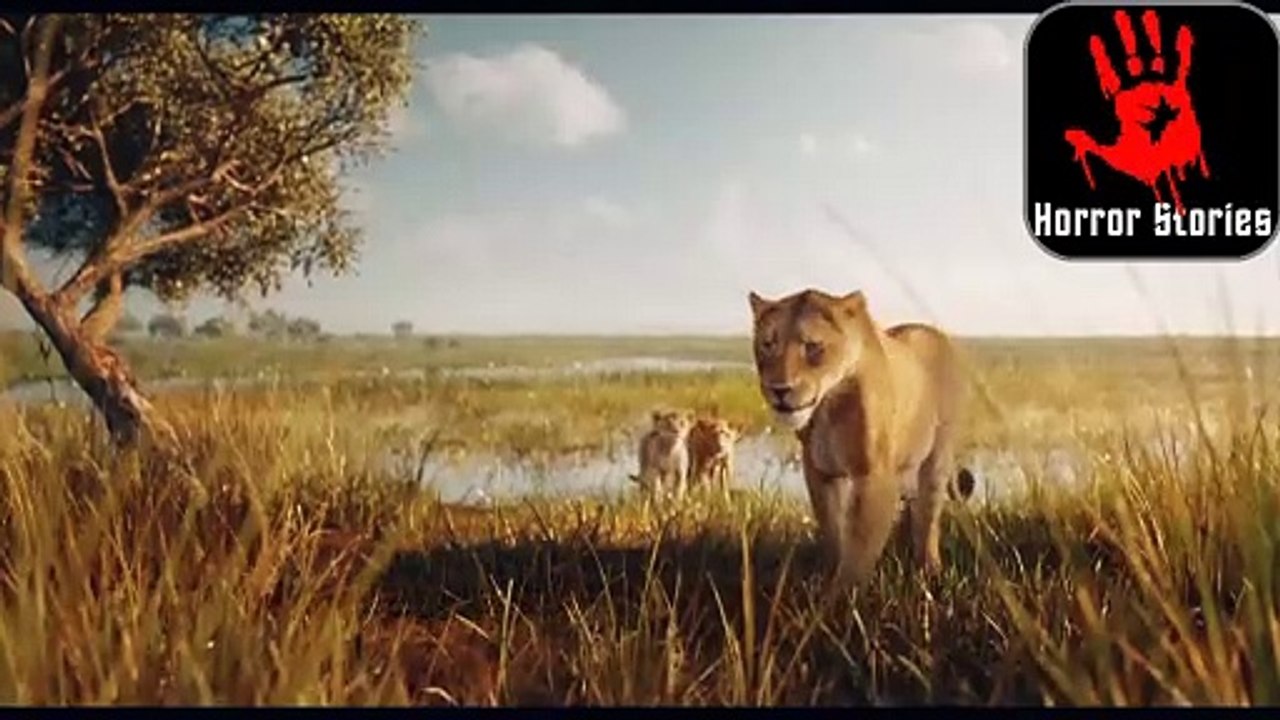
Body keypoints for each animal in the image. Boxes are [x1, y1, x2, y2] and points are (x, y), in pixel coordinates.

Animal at [747, 287, 976, 590]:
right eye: (768, 344)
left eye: (812, 346)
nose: (779, 389)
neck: (827, 405)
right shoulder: (819, 471)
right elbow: (832, 532)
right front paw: (826, 576)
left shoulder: (873, 476)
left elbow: (860, 549)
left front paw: (840, 598)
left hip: (937, 456)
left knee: (928, 517)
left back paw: (930, 570)